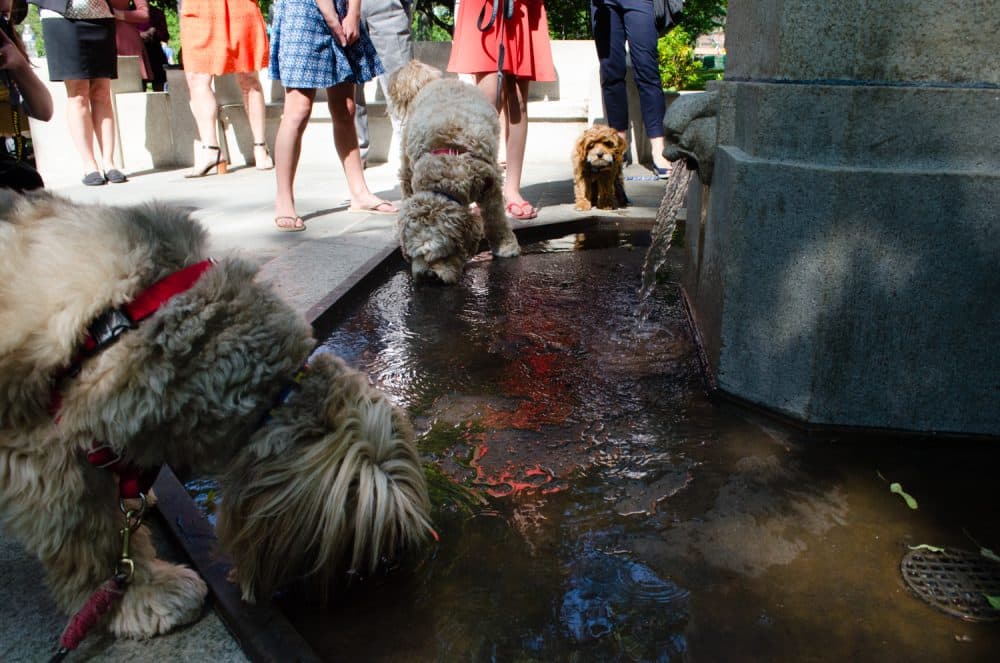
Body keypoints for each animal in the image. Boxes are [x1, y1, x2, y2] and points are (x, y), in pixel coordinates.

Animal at [386, 58, 520, 284]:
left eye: (443, 253)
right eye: (415, 255)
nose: (429, 277)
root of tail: (433, 82)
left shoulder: (491, 183)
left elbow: (496, 219)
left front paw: (505, 246)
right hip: (405, 161)